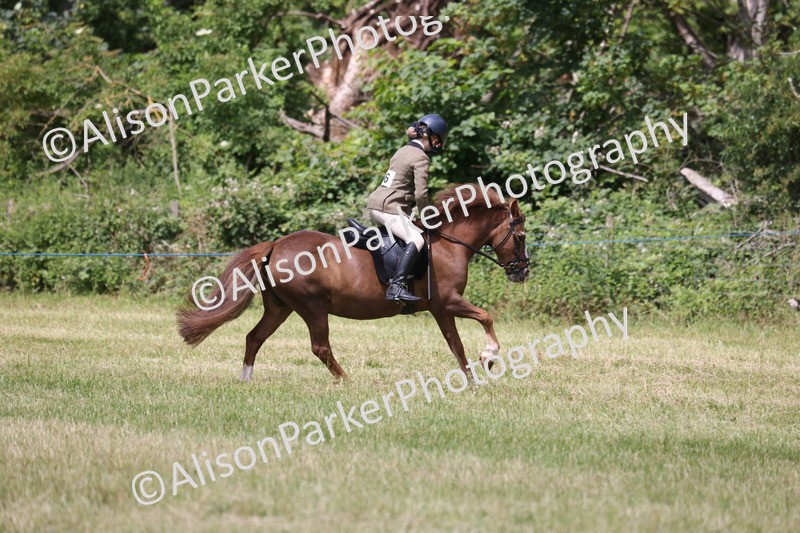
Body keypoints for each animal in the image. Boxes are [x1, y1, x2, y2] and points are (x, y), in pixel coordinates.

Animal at [176, 184, 530, 382]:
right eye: (521, 237)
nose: (522, 272)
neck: (450, 244)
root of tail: (276, 245)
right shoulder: (449, 302)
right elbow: (486, 317)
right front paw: (489, 356)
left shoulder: (441, 310)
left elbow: (456, 345)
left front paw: (471, 379)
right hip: (312, 307)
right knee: (319, 347)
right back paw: (347, 380)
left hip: (280, 308)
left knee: (254, 337)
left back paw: (245, 380)